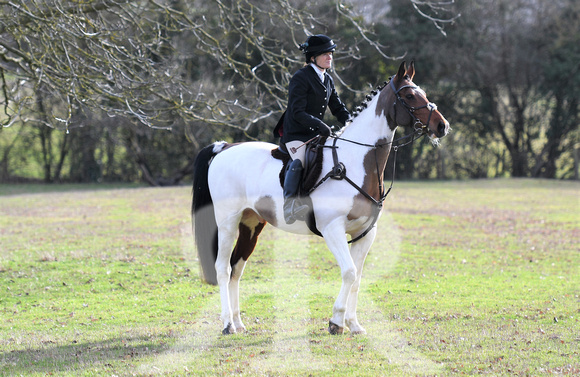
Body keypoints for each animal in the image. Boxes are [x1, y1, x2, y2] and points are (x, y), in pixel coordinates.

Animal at [193, 61, 450, 334]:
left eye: (423, 93)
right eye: (410, 96)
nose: (442, 126)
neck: (356, 161)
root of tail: (225, 147)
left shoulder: (366, 232)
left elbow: (357, 278)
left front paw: (354, 324)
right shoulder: (332, 228)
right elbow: (349, 272)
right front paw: (336, 322)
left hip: (251, 225)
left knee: (236, 268)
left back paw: (239, 323)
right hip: (228, 222)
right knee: (222, 268)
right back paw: (227, 324)